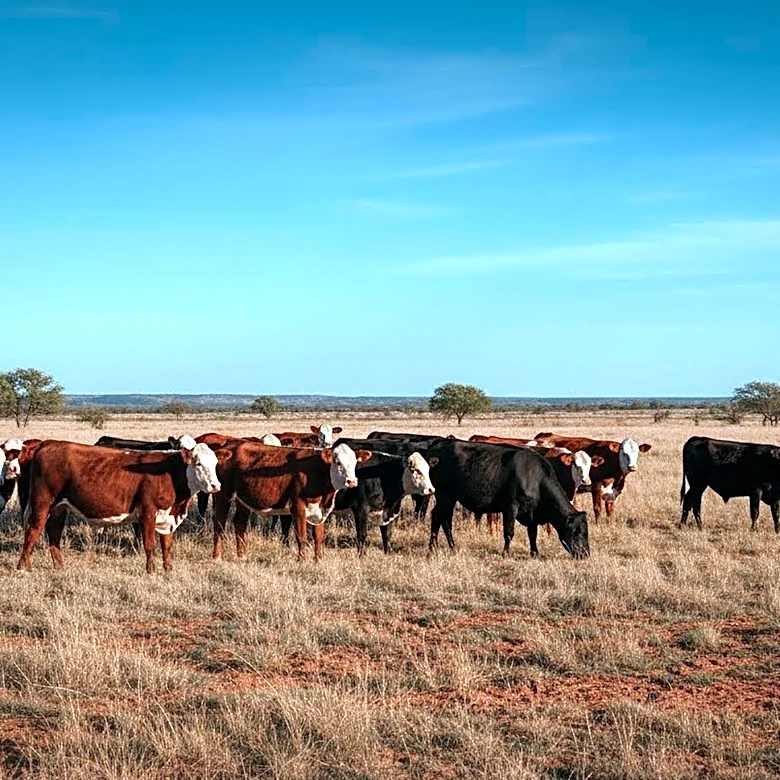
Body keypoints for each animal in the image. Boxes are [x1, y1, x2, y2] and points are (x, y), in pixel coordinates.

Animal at [17, 436, 221, 573]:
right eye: (198, 463)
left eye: (215, 463)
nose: (215, 486)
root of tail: (48, 443)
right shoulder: (147, 513)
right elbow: (150, 545)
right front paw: (151, 571)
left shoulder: (167, 517)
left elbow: (166, 545)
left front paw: (168, 569)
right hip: (42, 502)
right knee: (32, 531)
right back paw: (23, 567)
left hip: (60, 507)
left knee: (54, 533)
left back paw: (59, 566)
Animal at [208, 439, 371, 561]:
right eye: (337, 462)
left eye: (355, 462)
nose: (352, 481)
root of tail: (229, 445)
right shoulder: (298, 507)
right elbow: (302, 537)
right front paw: (302, 561)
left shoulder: (319, 510)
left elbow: (318, 537)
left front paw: (318, 560)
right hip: (223, 495)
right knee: (219, 524)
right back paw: (217, 557)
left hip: (243, 500)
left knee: (240, 524)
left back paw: (242, 556)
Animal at [415, 438, 589, 558]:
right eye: (577, 531)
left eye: (586, 531)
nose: (585, 554)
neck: (534, 477)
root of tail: (439, 444)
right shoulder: (511, 507)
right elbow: (509, 532)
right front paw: (506, 553)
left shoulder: (531, 513)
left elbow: (532, 534)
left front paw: (535, 553)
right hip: (446, 496)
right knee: (442, 518)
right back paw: (443, 546)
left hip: (447, 498)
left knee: (439, 518)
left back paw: (440, 546)